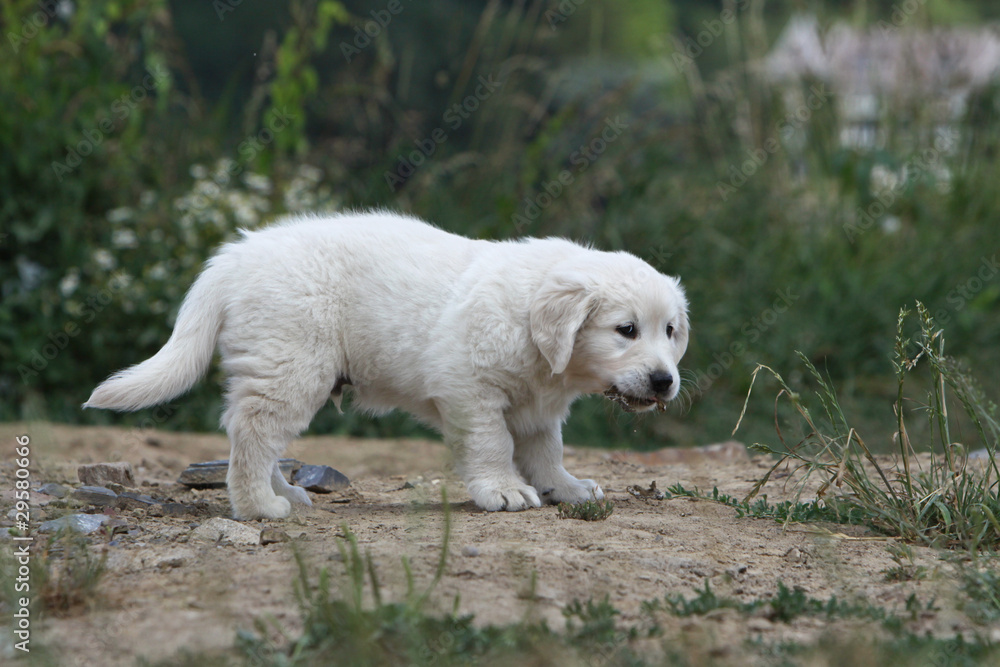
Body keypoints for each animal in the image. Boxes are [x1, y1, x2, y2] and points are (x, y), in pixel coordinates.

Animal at [86, 211, 692, 520]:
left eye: (670, 331)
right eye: (626, 330)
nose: (665, 381)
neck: (532, 329)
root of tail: (235, 256)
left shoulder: (538, 408)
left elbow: (547, 451)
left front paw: (564, 487)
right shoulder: (471, 391)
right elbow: (493, 444)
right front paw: (502, 490)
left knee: (253, 434)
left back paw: (283, 494)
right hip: (292, 363)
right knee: (254, 432)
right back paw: (260, 506)